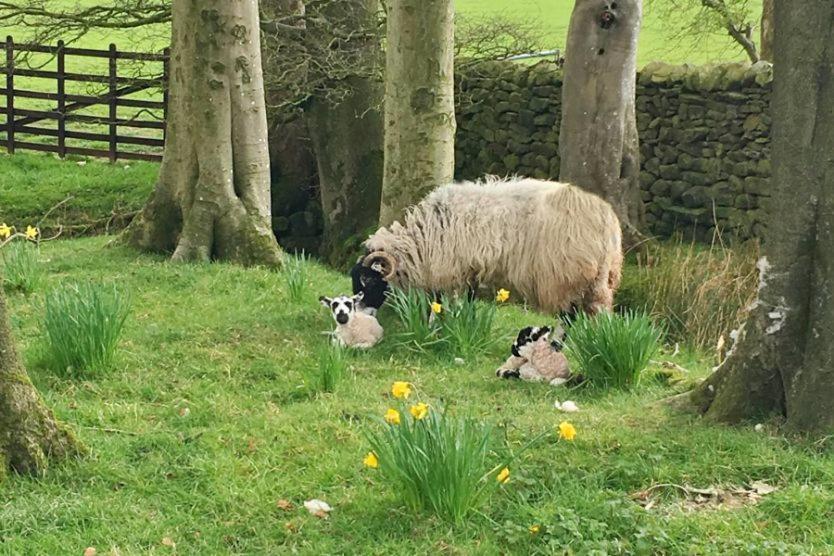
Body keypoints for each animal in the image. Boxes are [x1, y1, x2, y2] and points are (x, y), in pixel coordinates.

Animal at [354, 176, 620, 314]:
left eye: (368, 279)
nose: (358, 308)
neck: (424, 238)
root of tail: (606, 220)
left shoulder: (452, 271)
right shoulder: (469, 271)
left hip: (564, 279)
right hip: (601, 280)